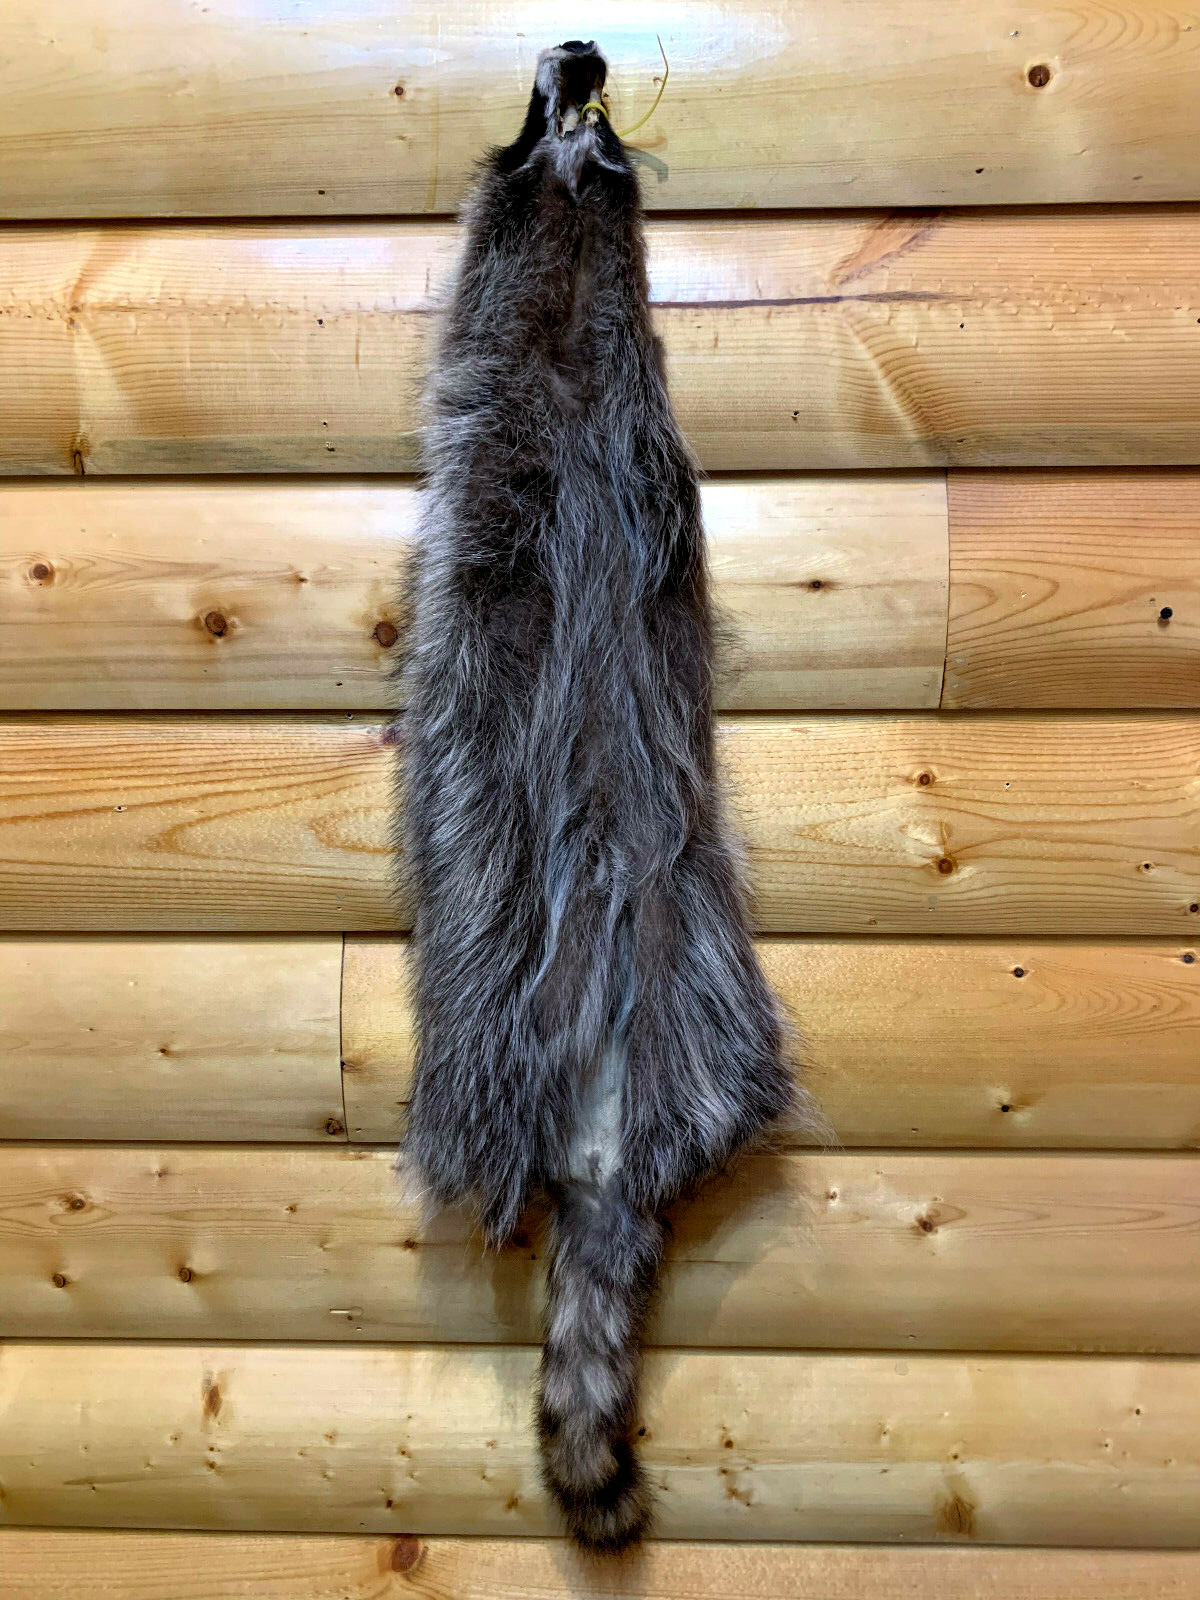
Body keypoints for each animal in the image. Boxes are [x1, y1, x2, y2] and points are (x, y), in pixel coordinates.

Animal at [398, 40, 810, 1551]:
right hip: (702, 1011)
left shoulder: (501, 311)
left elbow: (481, 254)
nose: (582, 55)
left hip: (489, 1023)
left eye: (554, 104)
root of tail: (609, 1140)